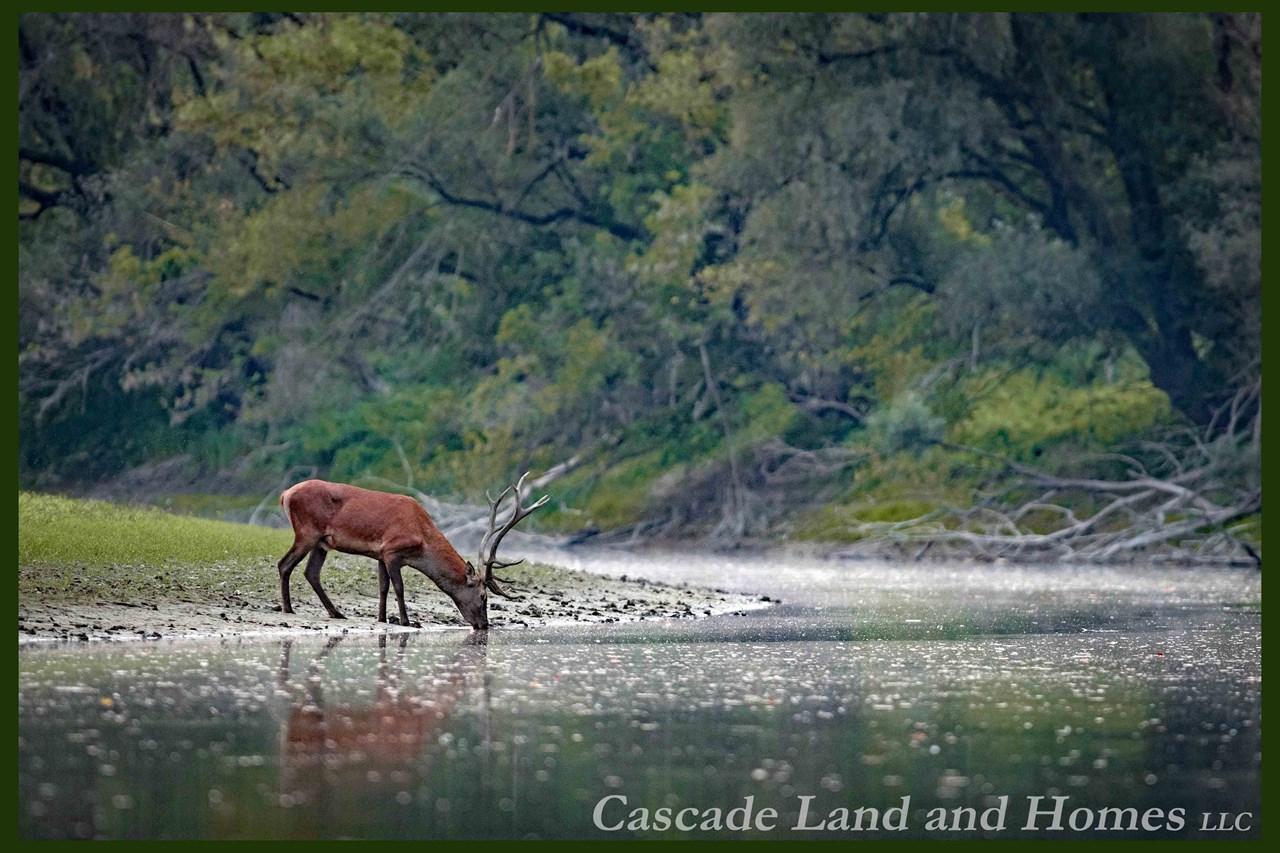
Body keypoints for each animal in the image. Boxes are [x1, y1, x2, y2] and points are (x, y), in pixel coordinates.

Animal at [275, 468, 545, 627]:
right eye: (483, 596)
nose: (484, 625)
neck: (422, 540)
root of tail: (285, 494)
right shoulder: (392, 551)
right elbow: (399, 587)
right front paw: (407, 621)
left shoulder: (379, 555)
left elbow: (383, 587)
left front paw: (382, 618)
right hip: (307, 532)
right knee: (284, 563)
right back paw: (289, 608)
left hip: (322, 542)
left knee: (311, 572)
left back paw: (336, 613)